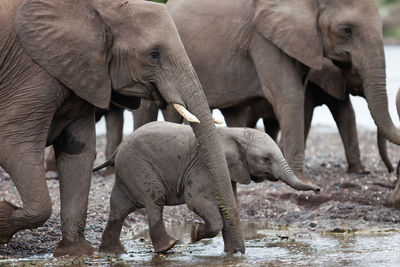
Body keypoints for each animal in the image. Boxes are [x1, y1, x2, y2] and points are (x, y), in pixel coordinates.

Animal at [0, 0, 244, 256]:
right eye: (154, 54)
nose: (235, 252)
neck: (101, 8)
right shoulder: (33, 74)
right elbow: (14, 147)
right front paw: (2, 224)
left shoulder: (82, 73)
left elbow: (79, 152)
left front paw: (77, 254)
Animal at [95, 122, 320, 254]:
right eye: (266, 159)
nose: (318, 190)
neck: (234, 132)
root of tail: (118, 150)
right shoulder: (203, 165)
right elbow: (196, 199)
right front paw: (194, 234)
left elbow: (229, 203)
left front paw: (234, 254)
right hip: (138, 167)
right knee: (154, 200)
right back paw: (168, 246)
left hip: (128, 170)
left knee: (119, 208)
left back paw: (112, 252)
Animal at [159, 0, 400, 184]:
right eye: (347, 30)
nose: (391, 170)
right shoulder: (264, 40)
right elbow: (291, 96)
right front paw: (302, 179)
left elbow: (339, 110)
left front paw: (360, 172)